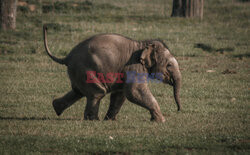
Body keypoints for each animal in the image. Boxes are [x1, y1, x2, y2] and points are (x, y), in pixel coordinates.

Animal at [42, 25, 181, 122]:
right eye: (169, 65)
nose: (179, 109)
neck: (143, 44)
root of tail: (67, 57)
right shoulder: (134, 66)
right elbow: (134, 91)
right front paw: (161, 121)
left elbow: (120, 94)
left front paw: (110, 120)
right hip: (86, 70)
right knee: (97, 92)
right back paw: (93, 120)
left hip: (78, 72)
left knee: (78, 91)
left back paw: (56, 107)